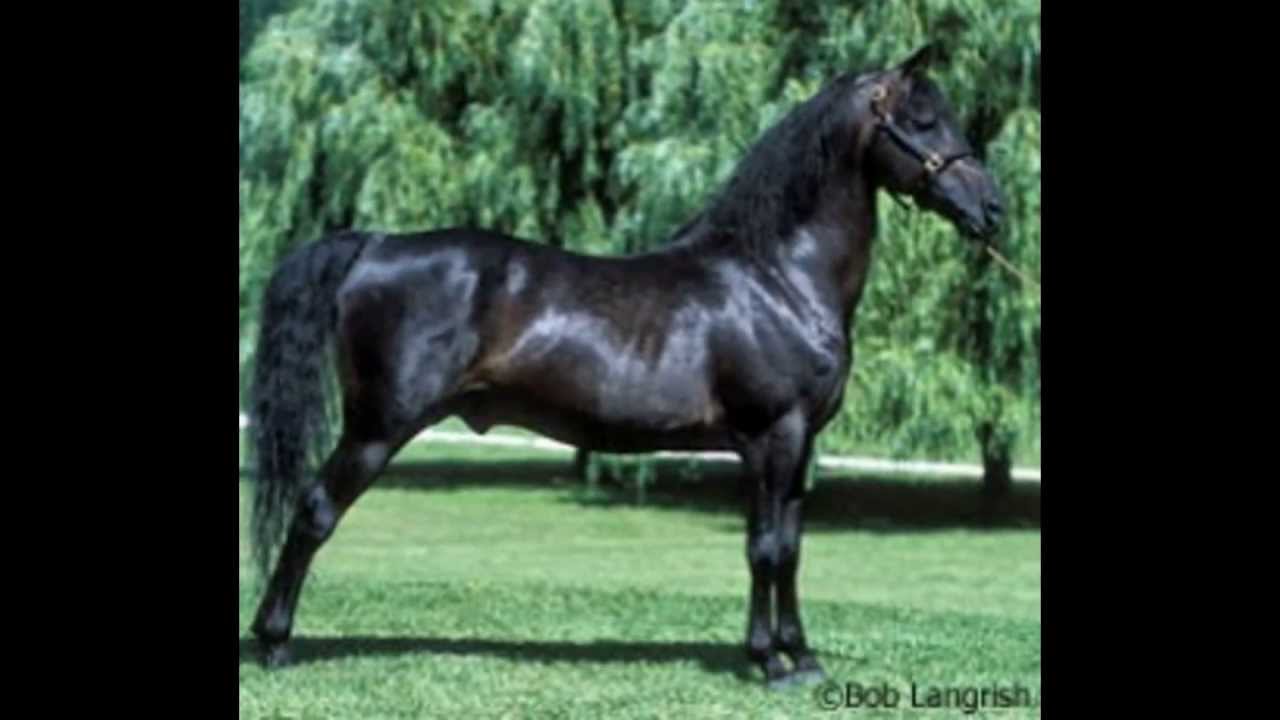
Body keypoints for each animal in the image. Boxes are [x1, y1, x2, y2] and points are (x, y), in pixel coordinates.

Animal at [244, 45, 1004, 689]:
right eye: (923, 119)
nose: (993, 209)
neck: (777, 276)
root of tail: (374, 244)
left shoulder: (800, 445)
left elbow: (790, 547)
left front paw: (802, 657)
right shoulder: (772, 437)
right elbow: (763, 548)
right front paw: (768, 662)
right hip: (376, 429)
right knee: (313, 513)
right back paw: (275, 643)